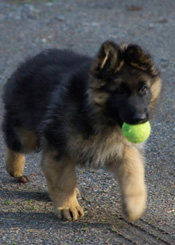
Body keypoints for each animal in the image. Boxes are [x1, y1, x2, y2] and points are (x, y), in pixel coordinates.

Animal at [2, 41, 161, 221]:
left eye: (143, 89)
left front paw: (134, 207)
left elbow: (133, 173)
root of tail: (30, 61)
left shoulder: (123, 149)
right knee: (13, 138)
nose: (141, 119)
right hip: (27, 135)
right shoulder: (59, 147)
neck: (97, 113)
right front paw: (68, 206)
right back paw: (15, 168)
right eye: (120, 91)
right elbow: (65, 180)